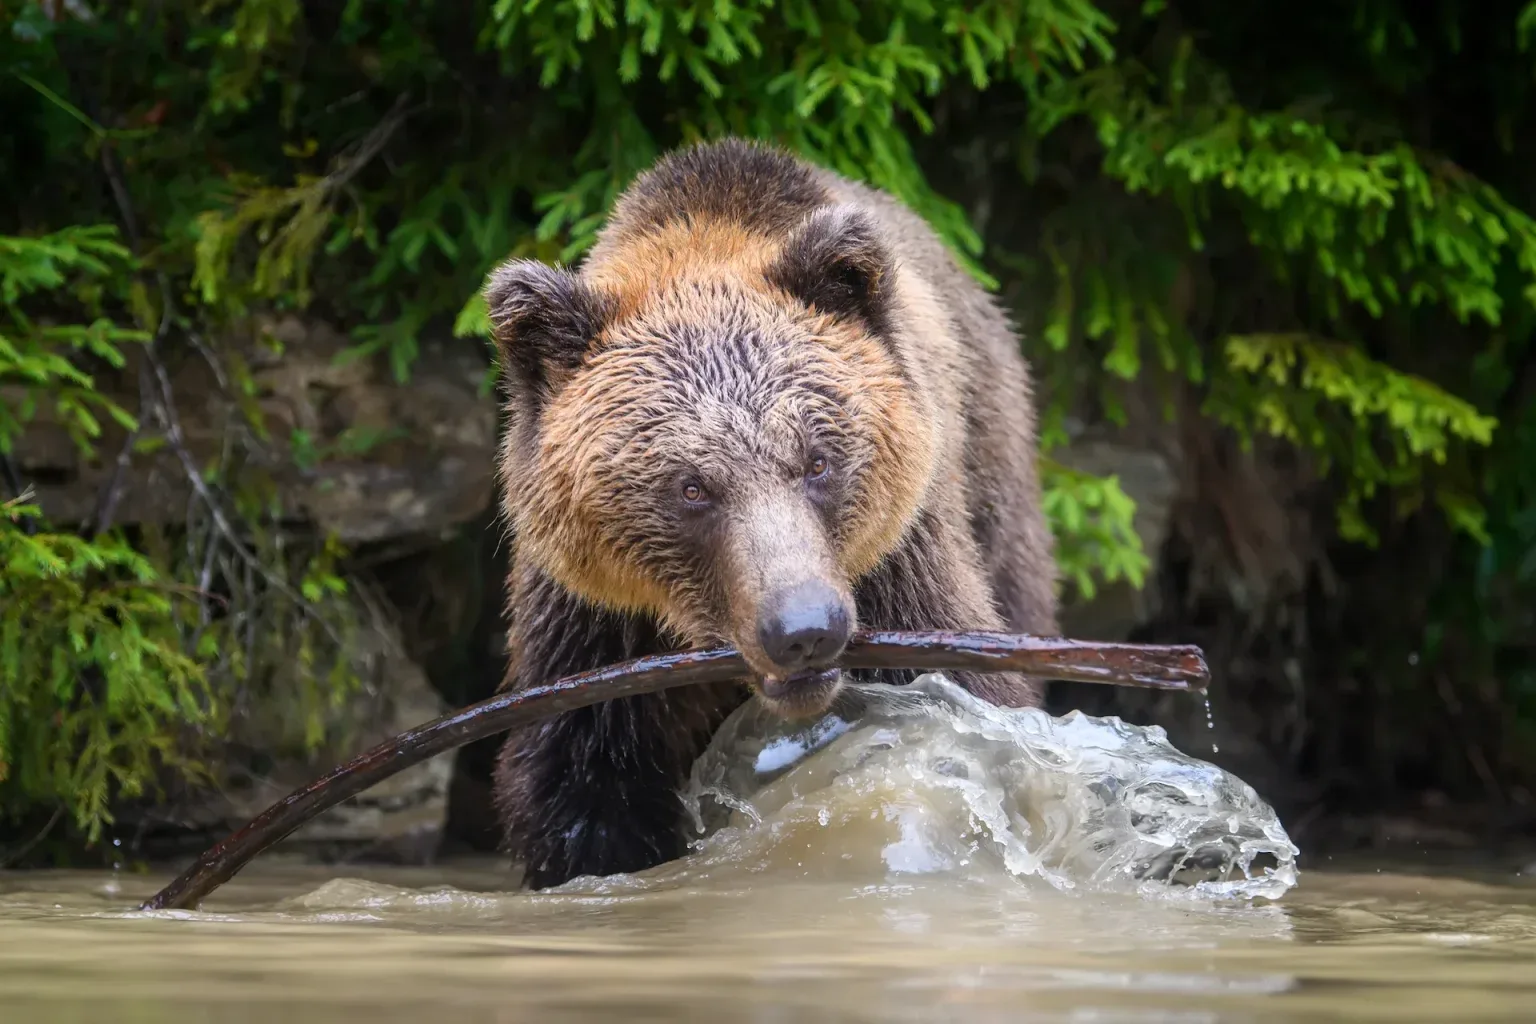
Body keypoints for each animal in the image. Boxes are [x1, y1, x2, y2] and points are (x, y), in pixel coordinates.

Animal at [483, 137, 1058, 890]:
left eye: (816, 462)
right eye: (692, 488)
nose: (804, 629)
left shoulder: (901, 565)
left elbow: (969, 700)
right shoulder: (592, 627)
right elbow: (581, 787)